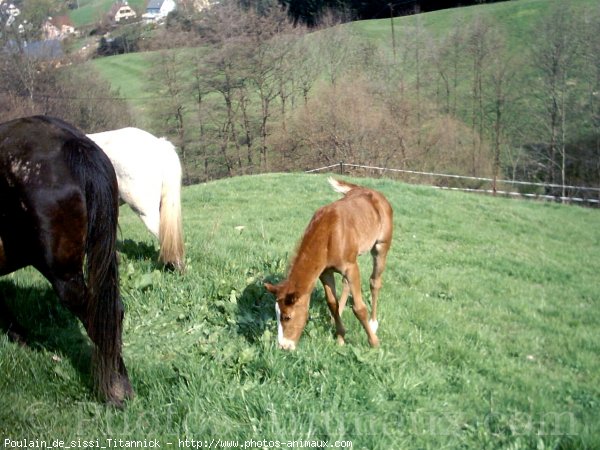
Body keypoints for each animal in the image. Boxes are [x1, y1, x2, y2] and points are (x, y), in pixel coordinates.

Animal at [266, 178, 394, 350]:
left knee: (375, 282)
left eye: (287, 317)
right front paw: (340, 337)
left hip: (380, 247)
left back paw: (373, 323)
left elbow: (359, 308)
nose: (283, 346)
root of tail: (375, 193)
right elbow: (332, 303)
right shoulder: (325, 272)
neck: (329, 234)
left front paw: (374, 342)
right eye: (276, 314)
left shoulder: (350, 267)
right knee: (346, 283)